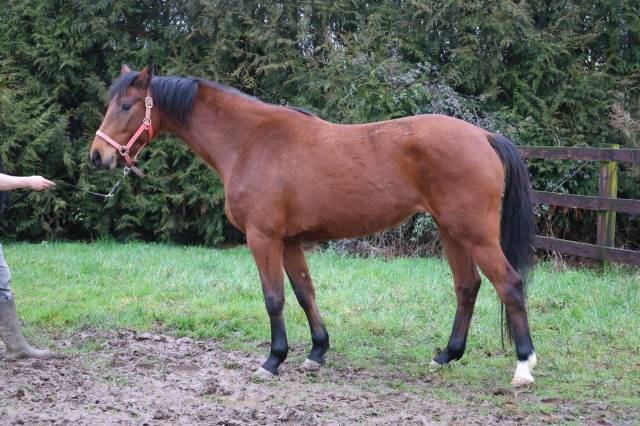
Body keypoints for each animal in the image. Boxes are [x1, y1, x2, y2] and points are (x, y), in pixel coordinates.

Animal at [90, 64, 538, 386]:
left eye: (126, 106)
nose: (97, 156)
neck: (251, 141)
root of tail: (482, 135)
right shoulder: (290, 241)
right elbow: (305, 293)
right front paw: (316, 352)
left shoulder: (263, 238)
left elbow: (274, 298)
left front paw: (273, 359)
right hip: (451, 231)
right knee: (468, 286)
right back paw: (447, 355)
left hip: (474, 233)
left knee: (509, 285)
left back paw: (523, 366)